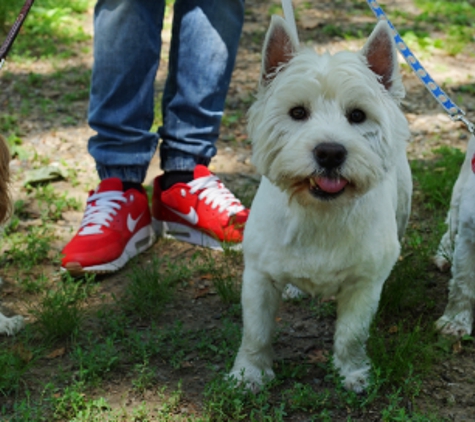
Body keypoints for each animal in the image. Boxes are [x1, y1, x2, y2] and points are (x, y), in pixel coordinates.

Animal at [231, 16, 412, 392]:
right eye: (297, 112)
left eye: (357, 115)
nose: (330, 152)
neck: (319, 213)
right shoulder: (258, 276)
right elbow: (256, 332)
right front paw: (249, 374)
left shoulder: (364, 284)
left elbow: (352, 334)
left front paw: (354, 373)